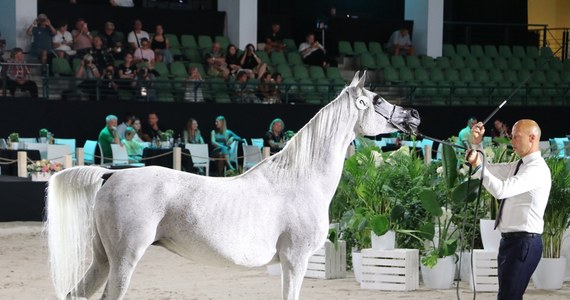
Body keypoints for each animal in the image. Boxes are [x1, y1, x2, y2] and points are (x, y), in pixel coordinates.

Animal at [46, 71, 420, 298]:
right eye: (377, 100)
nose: (414, 116)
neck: (300, 180)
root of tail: (112, 174)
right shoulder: (295, 260)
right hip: (124, 260)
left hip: (103, 259)